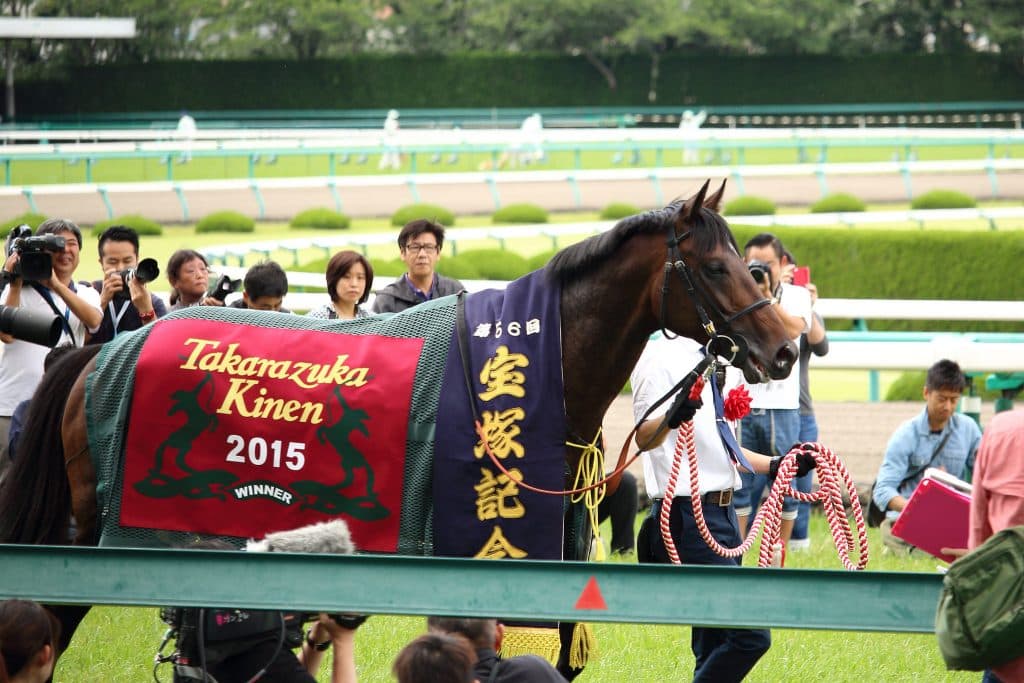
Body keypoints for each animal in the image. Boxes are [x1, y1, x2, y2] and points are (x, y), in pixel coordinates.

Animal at [0, 179, 797, 673]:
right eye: (717, 265)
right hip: (96, 532)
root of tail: (101, 348)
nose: (788, 347)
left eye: (749, 263)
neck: (539, 361)